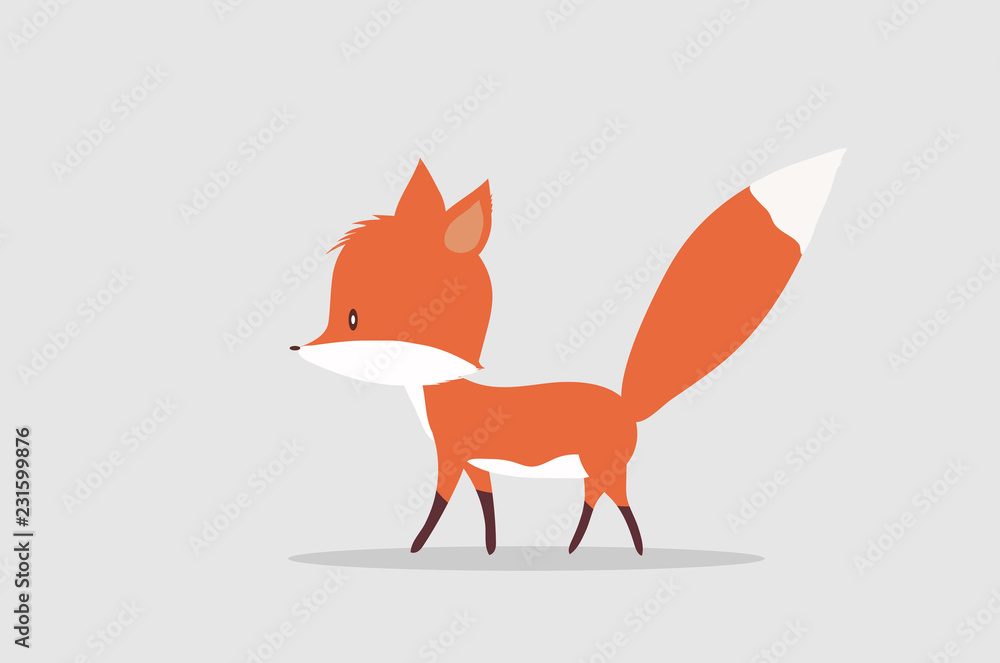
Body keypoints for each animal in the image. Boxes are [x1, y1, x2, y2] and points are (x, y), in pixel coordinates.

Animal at [291, 150, 846, 555]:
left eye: (354, 317)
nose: (299, 346)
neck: (440, 392)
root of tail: (625, 404)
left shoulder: (451, 459)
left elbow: (438, 510)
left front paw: (417, 547)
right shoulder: (477, 464)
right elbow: (488, 509)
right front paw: (490, 551)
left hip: (604, 468)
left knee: (620, 507)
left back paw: (625, 551)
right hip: (592, 472)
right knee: (595, 504)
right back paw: (575, 548)